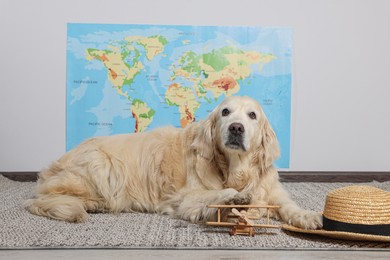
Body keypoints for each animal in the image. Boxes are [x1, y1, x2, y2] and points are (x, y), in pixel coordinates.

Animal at [25, 96, 322, 230]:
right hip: (101, 164)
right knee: (42, 199)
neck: (235, 168)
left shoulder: (272, 189)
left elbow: (288, 204)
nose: (236, 128)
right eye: (225, 112)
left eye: (252, 115)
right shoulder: (185, 199)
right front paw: (235, 198)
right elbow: (215, 195)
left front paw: (307, 216)